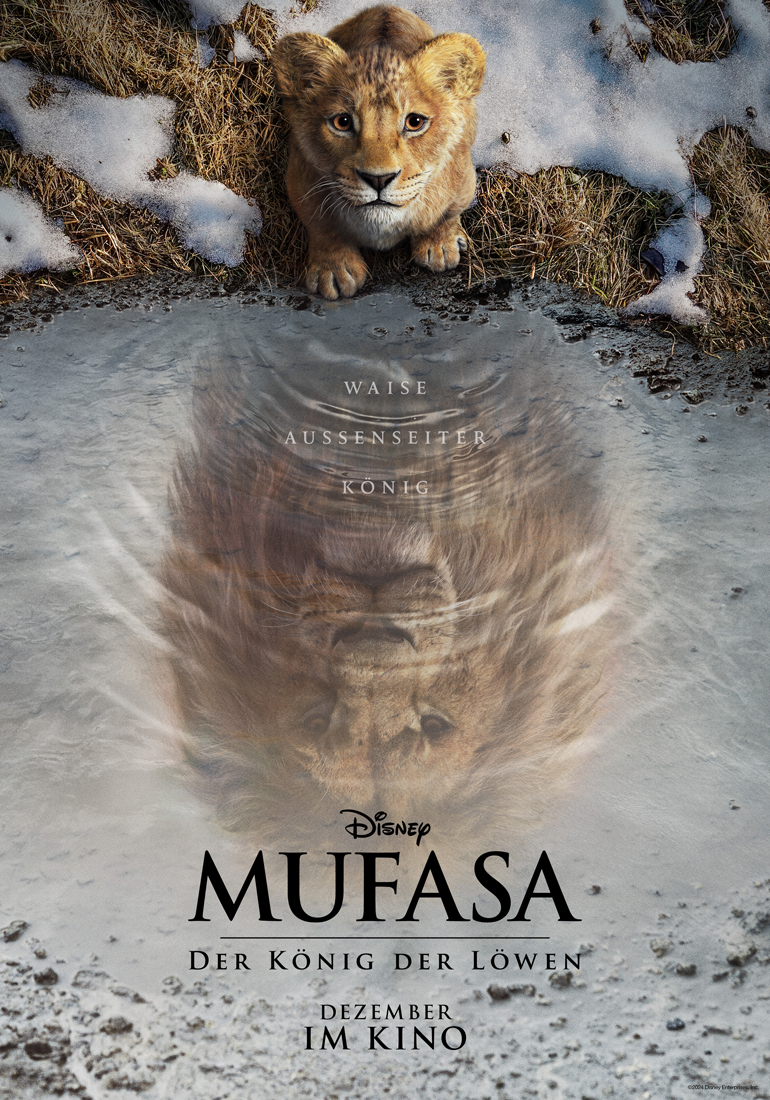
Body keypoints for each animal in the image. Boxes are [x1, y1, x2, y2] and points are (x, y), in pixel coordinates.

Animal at [271, 6, 486, 299]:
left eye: (415, 122)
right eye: (342, 122)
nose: (378, 179)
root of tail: (386, 7)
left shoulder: (463, 179)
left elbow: (446, 214)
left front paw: (440, 247)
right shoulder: (300, 179)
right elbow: (322, 226)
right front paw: (334, 270)